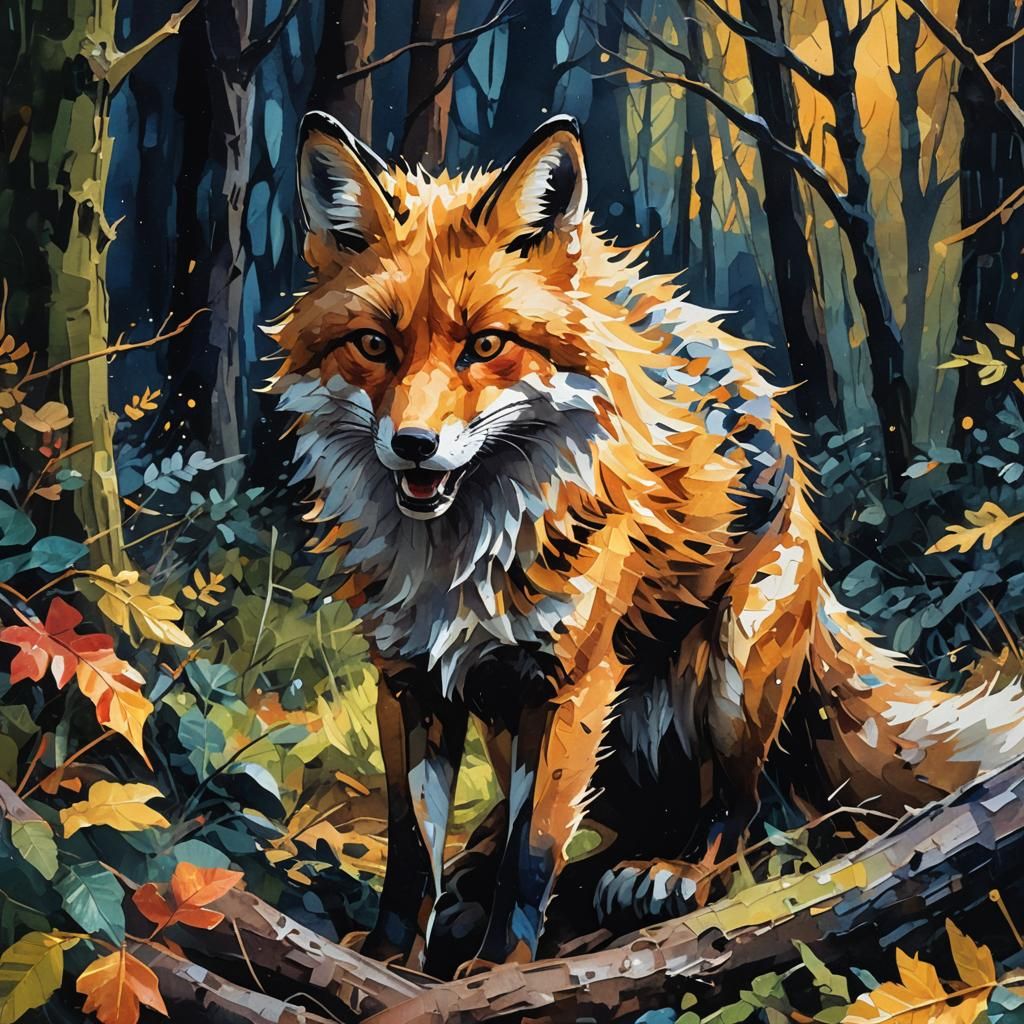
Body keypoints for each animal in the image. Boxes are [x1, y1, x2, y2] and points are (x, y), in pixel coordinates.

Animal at [267, 110, 1024, 976]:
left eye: (485, 345)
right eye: (375, 345)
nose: (414, 446)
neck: (456, 560)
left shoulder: (571, 682)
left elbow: (534, 855)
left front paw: (499, 971)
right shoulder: (409, 681)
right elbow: (408, 847)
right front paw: (391, 959)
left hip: (733, 669)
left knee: (743, 814)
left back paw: (672, 874)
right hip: (518, 715)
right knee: (600, 820)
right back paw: (482, 875)